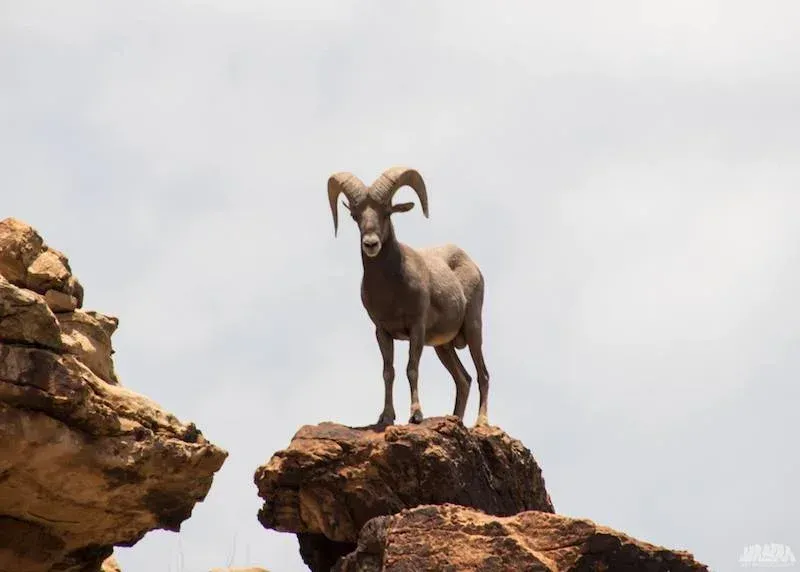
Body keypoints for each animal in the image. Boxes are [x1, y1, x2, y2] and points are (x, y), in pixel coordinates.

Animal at [327, 166, 490, 427]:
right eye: (355, 215)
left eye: (387, 212)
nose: (370, 244)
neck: (392, 291)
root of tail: (471, 265)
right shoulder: (382, 332)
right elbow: (388, 372)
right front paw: (385, 417)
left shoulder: (416, 328)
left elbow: (411, 368)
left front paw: (416, 415)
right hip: (443, 347)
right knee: (463, 380)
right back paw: (455, 419)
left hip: (474, 329)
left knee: (482, 374)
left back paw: (481, 422)